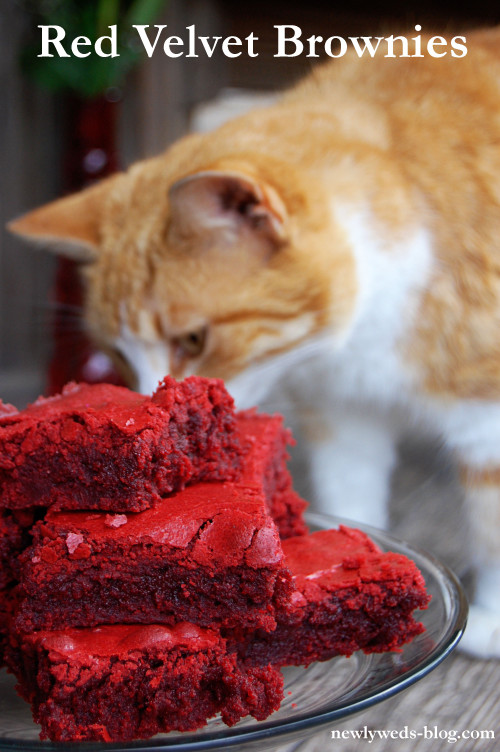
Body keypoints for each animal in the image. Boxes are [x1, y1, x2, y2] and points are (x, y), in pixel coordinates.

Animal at [8, 25, 500, 656]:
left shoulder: (483, 416)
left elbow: (490, 519)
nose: (149, 395)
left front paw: (490, 620)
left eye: (194, 339)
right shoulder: (343, 414)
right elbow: (353, 488)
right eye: (117, 353)